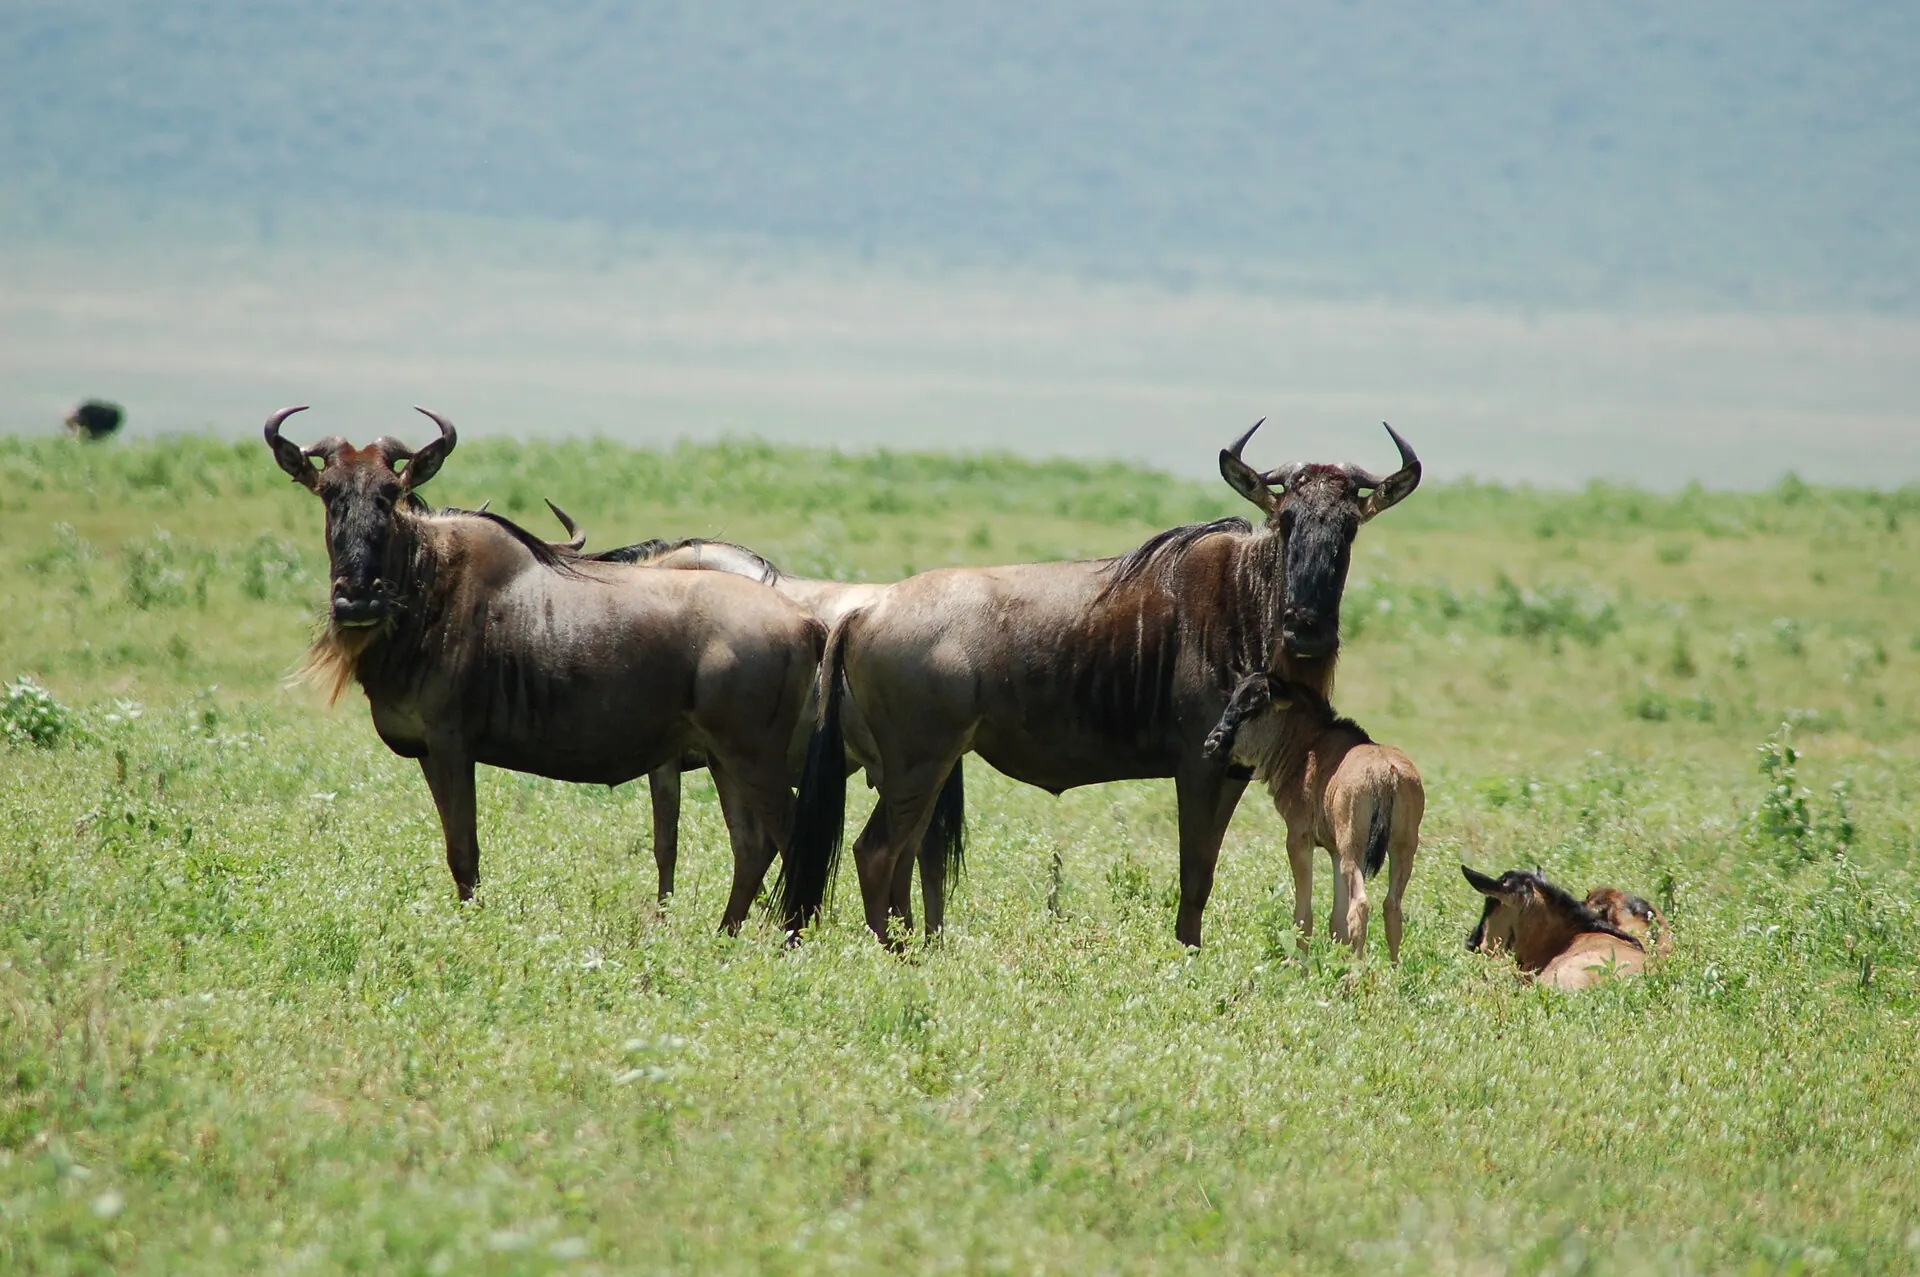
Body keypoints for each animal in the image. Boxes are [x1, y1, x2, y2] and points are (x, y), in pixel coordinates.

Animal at [263, 405, 830, 932]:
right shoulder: (427, 750)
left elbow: (465, 851)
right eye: (328, 493)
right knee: (751, 844)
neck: (428, 588)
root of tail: (807, 622)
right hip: (724, 759)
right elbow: (454, 849)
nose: (357, 601)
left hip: (752, 758)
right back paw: (724, 939)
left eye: (390, 493)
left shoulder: (452, 742)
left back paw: (791, 941)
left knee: (791, 838)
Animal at [780, 419, 1421, 947]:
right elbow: (1193, 879)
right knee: (877, 852)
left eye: (1349, 528)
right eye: (1286, 521)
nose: (1308, 628)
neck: (1248, 596)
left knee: (904, 852)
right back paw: (897, 955)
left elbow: (1205, 875)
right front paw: (1186, 959)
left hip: (920, 769)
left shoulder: (1233, 774)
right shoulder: (1199, 765)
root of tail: (866, 610)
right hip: (918, 763)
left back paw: (914, 949)